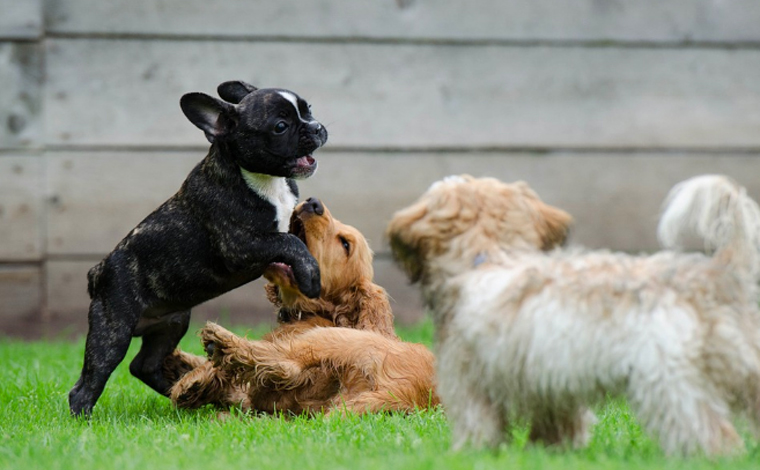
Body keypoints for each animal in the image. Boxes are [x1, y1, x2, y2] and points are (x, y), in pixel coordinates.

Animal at [388, 173, 760, 456]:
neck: (490, 256)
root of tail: (715, 274)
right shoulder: (552, 386)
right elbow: (559, 426)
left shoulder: (470, 382)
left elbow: (478, 426)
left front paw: (470, 455)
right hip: (745, 368)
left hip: (669, 384)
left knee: (711, 433)